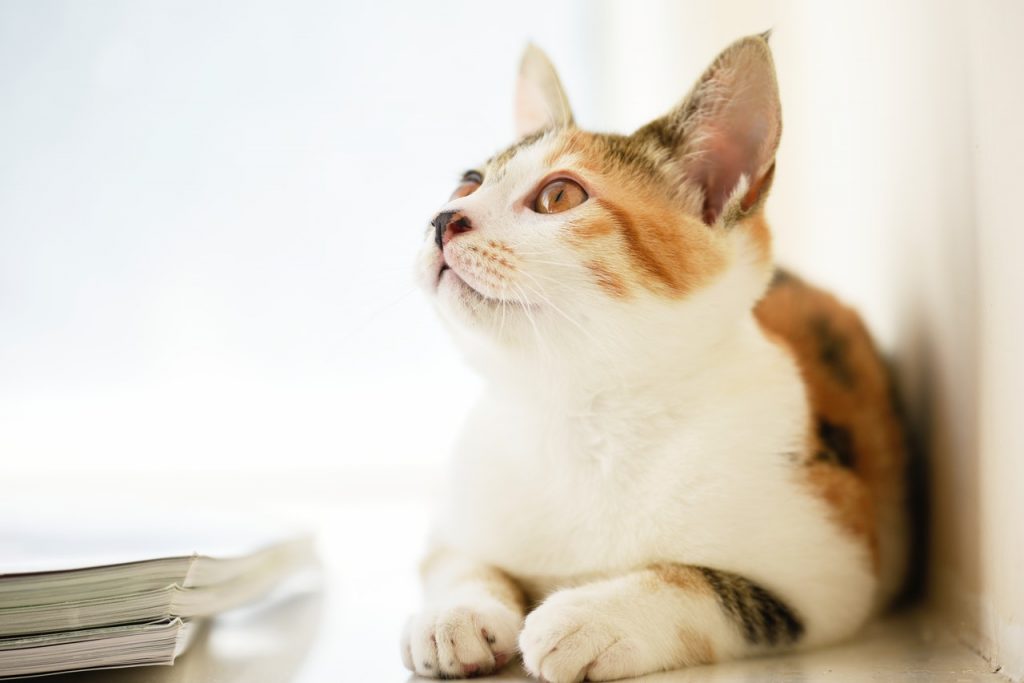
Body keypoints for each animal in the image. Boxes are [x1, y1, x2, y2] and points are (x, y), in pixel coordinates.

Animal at [403, 33, 909, 683]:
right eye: (467, 183)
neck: (580, 411)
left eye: (558, 195)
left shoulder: (837, 562)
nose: (443, 219)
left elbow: (710, 585)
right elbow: (456, 558)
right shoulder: (457, 512)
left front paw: (592, 616)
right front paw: (457, 612)